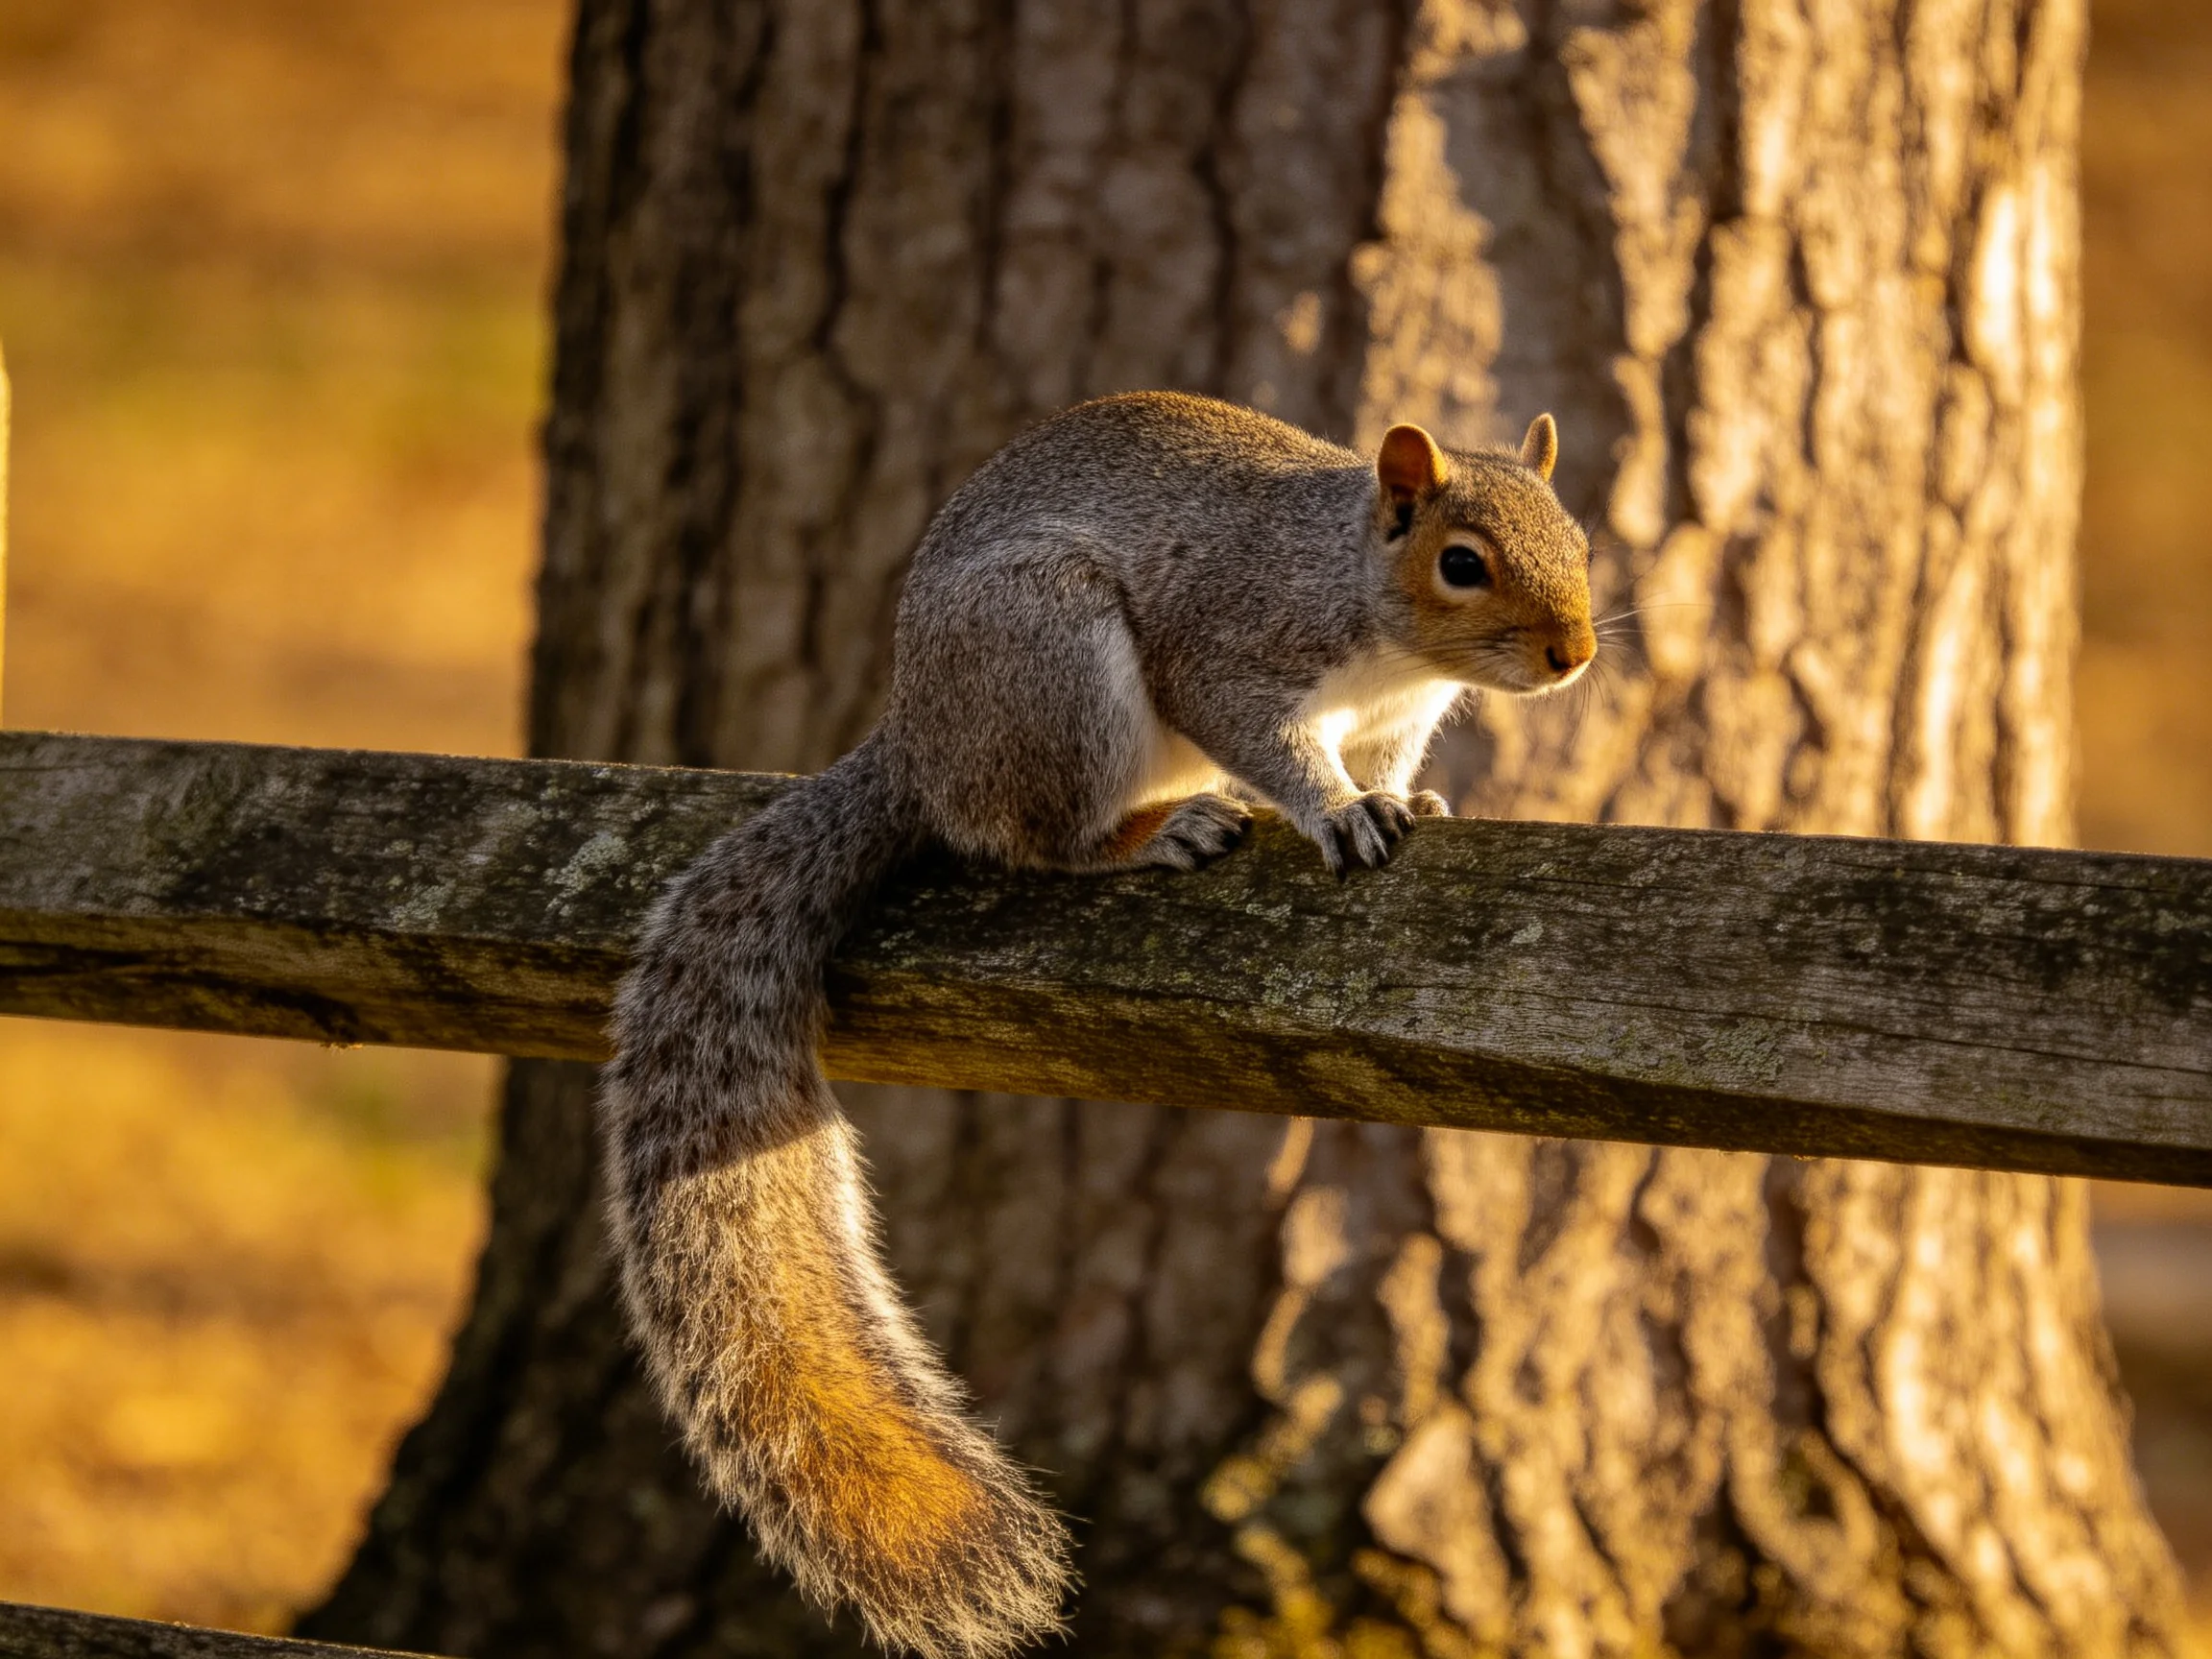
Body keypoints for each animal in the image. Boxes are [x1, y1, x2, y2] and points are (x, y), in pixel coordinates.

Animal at [601, 391, 1596, 1657]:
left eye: (1580, 541)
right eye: (1460, 563)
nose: (1576, 653)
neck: (1368, 605)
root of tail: (920, 744)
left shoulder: (1393, 715)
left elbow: (1383, 758)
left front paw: (1403, 796)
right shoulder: (1229, 648)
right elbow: (1272, 743)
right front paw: (1336, 812)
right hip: (1053, 662)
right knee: (1035, 838)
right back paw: (1157, 830)